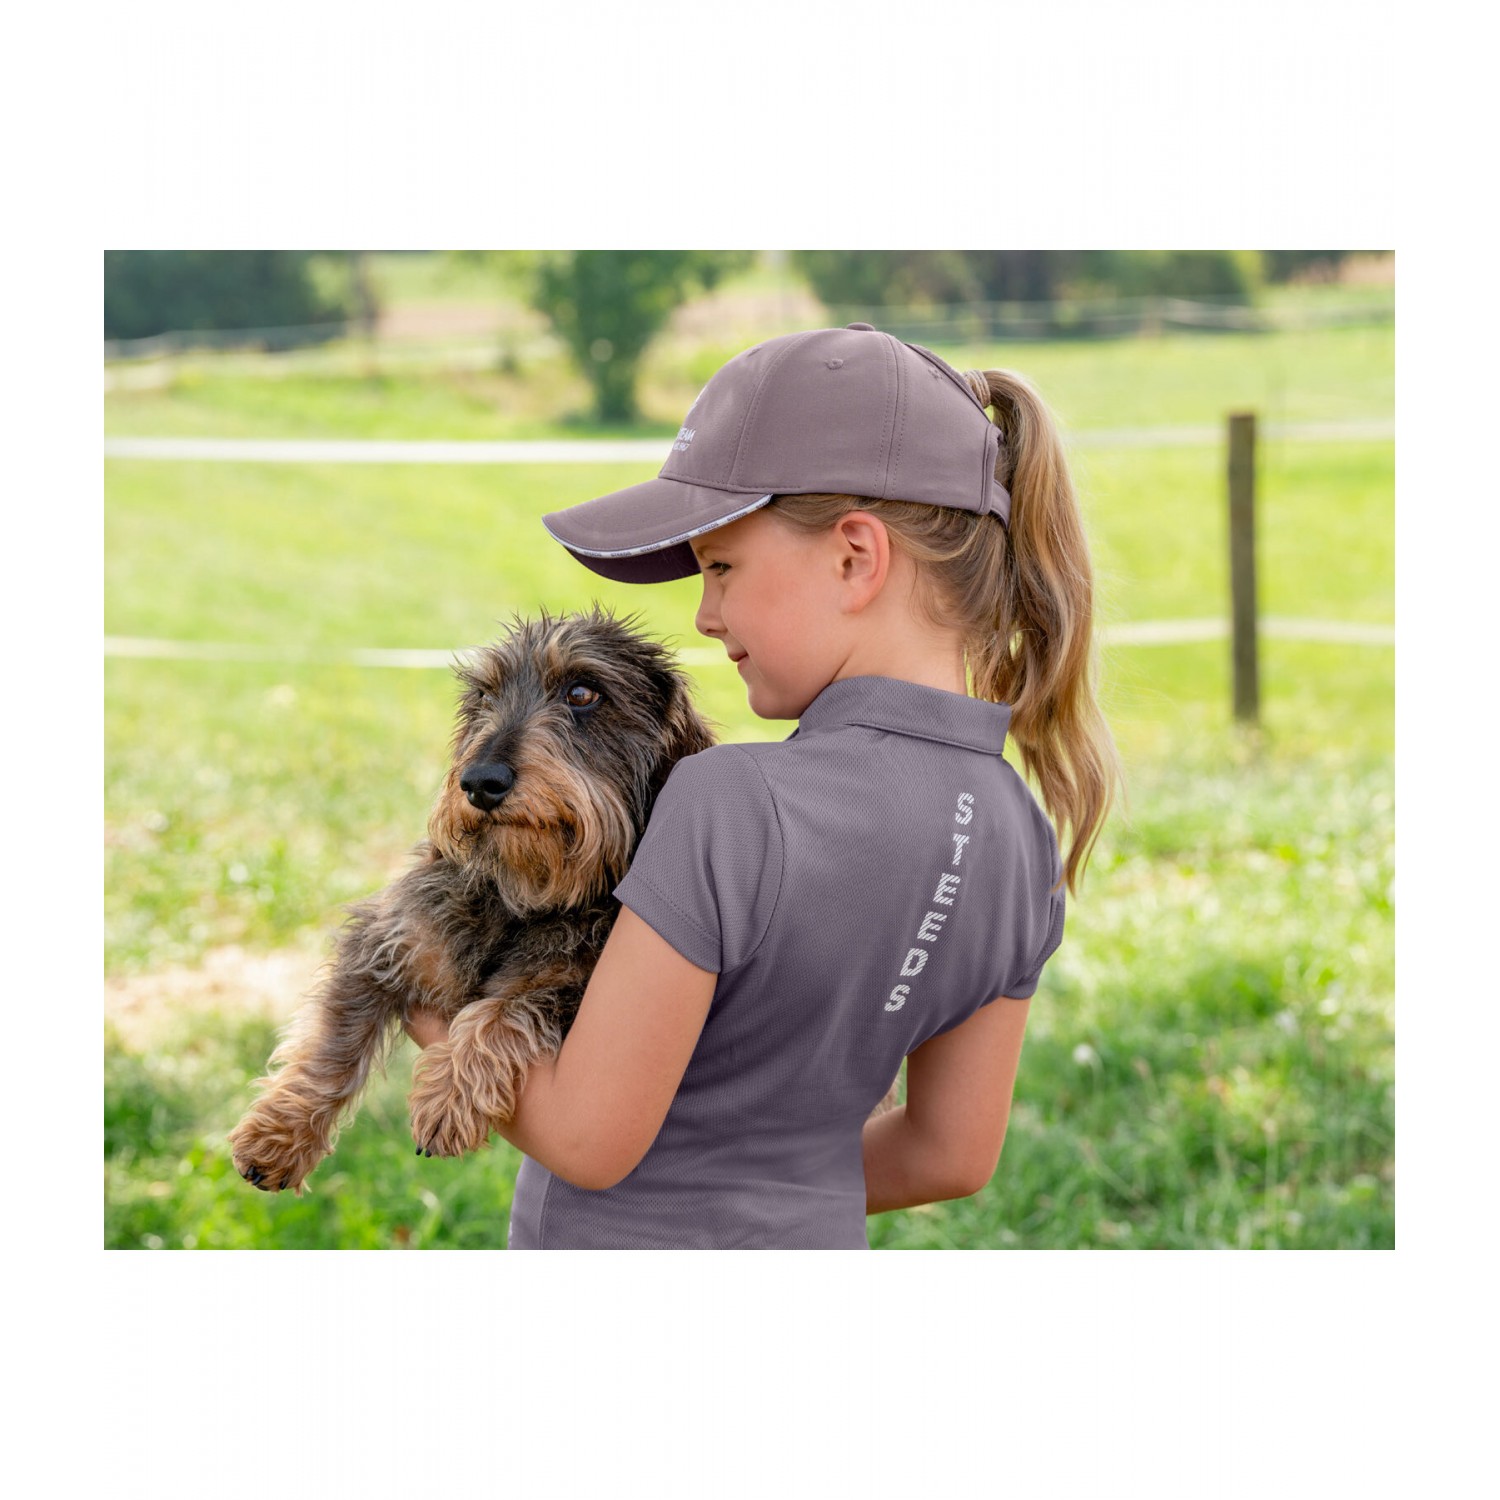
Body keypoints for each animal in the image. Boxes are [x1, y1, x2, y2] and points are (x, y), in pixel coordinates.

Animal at [228, 608, 716, 1194]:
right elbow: (333, 1042)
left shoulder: (577, 988)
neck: (522, 898)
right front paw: (279, 1134)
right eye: (484, 696)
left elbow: (501, 1010)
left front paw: (449, 1098)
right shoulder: (386, 939)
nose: (480, 781)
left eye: (582, 692)